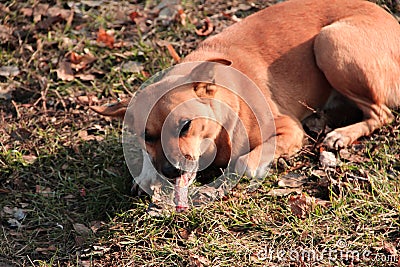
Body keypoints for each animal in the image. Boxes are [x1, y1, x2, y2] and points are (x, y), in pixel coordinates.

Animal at [90, 0, 400, 197]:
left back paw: (342, 134)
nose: (170, 171)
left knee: (381, 114)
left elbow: (244, 162)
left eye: (186, 125)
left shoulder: (288, 128)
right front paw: (144, 174)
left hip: (329, 42)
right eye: (147, 135)